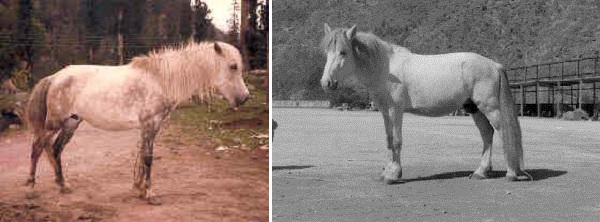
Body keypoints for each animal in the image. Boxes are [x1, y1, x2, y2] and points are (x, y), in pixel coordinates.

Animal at [322, 24, 532, 184]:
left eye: (343, 52)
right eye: (327, 52)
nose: (326, 83)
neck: (386, 67)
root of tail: (494, 65)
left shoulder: (395, 110)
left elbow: (397, 141)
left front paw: (393, 175)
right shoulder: (385, 111)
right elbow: (389, 140)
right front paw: (386, 172)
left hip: (490, 108)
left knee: (502, 132)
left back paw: (511, 173)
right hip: (474, 109)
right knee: (487, 134)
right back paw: (480, 172)